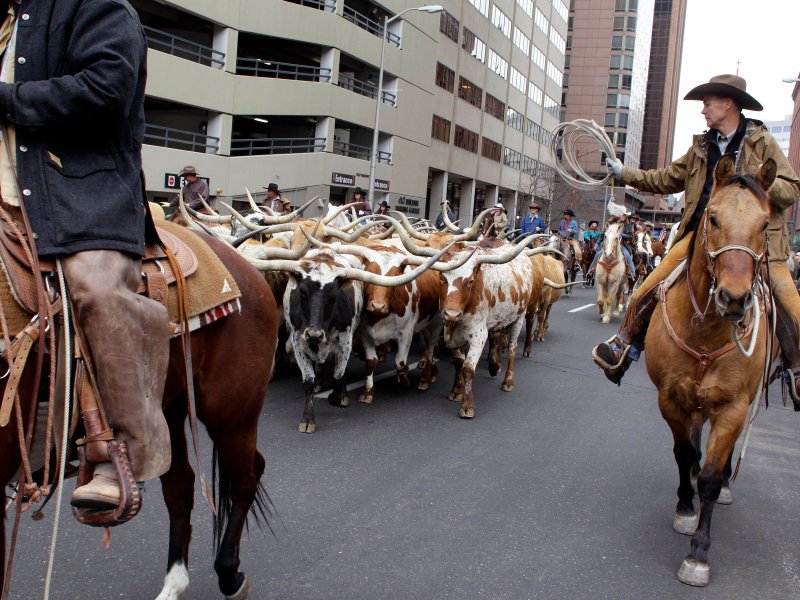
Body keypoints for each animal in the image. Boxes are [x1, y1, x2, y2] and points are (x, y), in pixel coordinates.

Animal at [1, 234, 278, 600]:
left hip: (230, 411)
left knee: (246, 475)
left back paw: (229, 573)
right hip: (168, 409)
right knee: (181, 485)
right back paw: (174, 582)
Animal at [644, 157, 776, 588]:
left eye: (765, 224)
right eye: (713, 218)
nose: (734, 298)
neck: (704, 329)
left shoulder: (732, 407)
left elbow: (711, 479)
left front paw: (698, 553)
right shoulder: (670, 398)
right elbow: (684, 453)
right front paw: (686, 509)